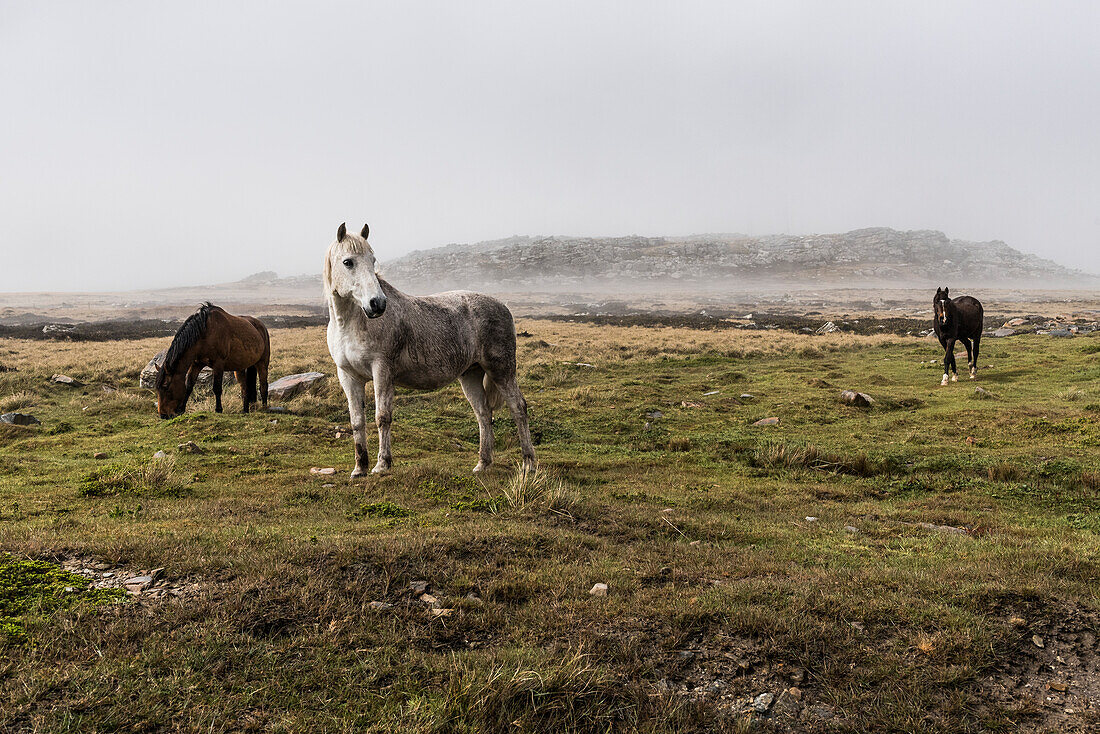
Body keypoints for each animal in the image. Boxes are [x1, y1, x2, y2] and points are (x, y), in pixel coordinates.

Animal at [321, 224, 536, 477]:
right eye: (348, 262)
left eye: (373, 261)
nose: (377, 304)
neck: (353, 324)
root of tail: (504, 307)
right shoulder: (348, 376)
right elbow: (357, 421)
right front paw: (359, 468)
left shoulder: (382, 371)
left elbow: (382, 417)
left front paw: (382, 464)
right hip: (471, 374)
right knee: (483, 414)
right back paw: (483, 463)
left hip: (501, 370)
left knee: (518, 408)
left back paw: (529, 463)